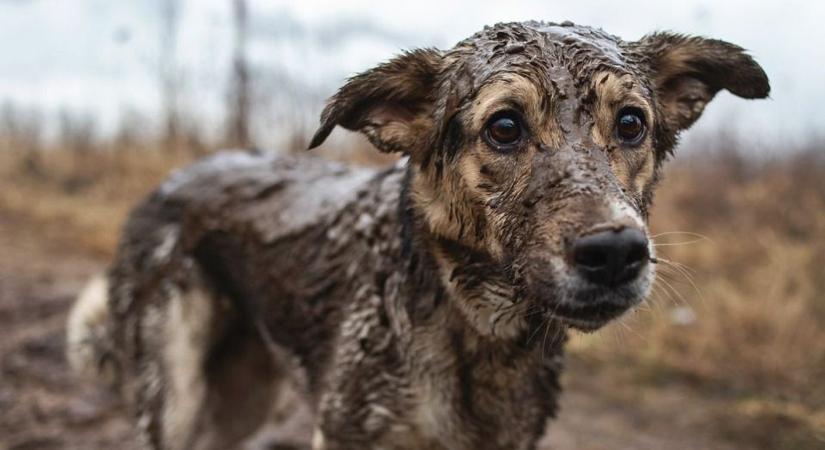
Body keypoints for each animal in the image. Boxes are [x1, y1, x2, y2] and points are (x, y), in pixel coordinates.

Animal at [67, 21, 768, 450]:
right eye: (505, 127)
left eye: (630, 123)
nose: (617, 254)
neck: (474, 325)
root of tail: (167, 183)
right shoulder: (347, 431)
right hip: (177, 400)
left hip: (242, 397)